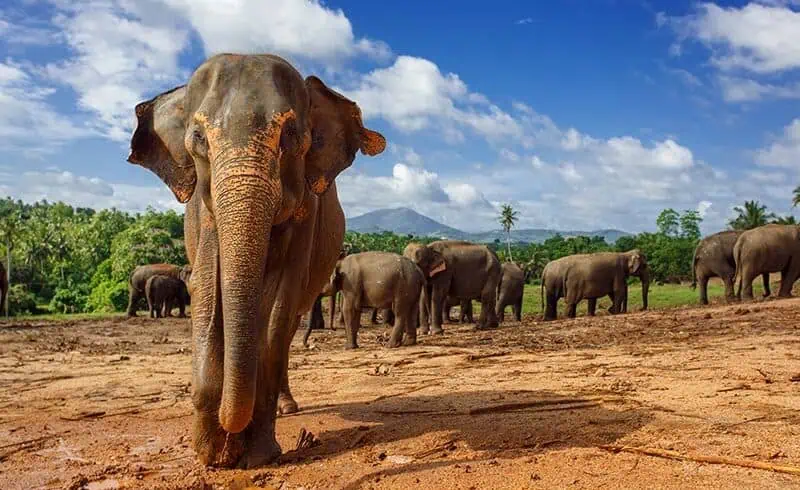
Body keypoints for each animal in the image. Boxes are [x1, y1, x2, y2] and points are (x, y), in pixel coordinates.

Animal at [126, 53, 386, 468]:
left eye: (290, 135)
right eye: (198, 138)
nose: (228, 441)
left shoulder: (307, 214)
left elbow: (279, 305)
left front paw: (256, 455)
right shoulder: (202, 211)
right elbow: (206, 288)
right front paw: (212, 454)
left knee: (287, 325)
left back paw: (286, 408)